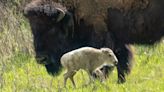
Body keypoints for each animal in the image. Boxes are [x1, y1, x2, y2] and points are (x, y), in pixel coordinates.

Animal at [24, 0, 164, 83]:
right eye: (33, 29)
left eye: (52, 28)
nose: (41, 58)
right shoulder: (118, 40)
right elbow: (122, 62)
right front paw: (120, 83)